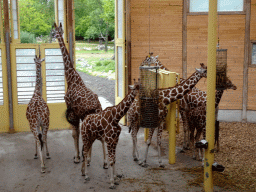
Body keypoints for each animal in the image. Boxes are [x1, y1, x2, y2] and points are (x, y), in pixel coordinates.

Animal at [53, 22, 107, 166]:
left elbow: (74, 133)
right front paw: (82, 156)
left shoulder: (71, 109)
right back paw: (100, 161)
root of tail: (97, 106)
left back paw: (96, 160)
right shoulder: (76, 113)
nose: (51, 37)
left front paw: (77, 157)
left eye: (52, 31)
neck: (71, 78)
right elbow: (77, 133)